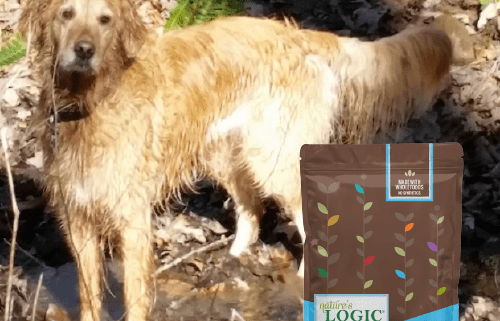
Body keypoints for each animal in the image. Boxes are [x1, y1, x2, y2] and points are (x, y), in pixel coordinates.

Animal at [17, 0, 452, 318]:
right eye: (66, 14)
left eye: (104, 19)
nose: (83, 50)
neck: (89, 101)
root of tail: (297, 35)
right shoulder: (77, 219)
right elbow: (88, 295)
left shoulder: (132, 219)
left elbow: (135, 297)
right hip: (227, 154)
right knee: (252, 210)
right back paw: (235, 259)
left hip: (276, 157)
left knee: (307, 215)